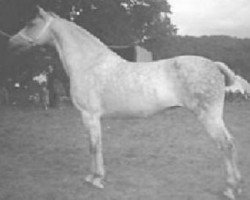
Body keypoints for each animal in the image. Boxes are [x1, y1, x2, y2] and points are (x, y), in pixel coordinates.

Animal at [8, 7, 249, 199]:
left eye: (31, 24)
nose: (11, 41)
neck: (90, 64)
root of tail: (214, 65)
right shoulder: (94, 117)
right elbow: (97, 145)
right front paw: (97, 176)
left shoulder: (89, 115)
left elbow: (93, 146)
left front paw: (94, 178)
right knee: (229, 145)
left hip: (210, 117)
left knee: (226, 145)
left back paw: (230, 189)